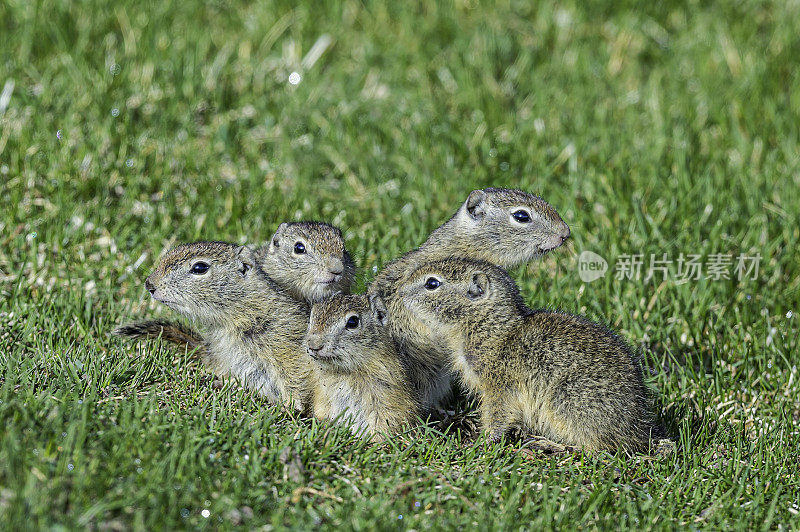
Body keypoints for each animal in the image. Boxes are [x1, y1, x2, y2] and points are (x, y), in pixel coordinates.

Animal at [392, 258, 656, 454]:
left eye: (432, 283)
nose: (400, 292)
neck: (490, 327)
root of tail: (638, 428)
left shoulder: (499, 386)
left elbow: (498, 415)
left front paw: (481, 441)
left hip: (568, 399)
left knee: (597, 447)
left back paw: (551, 444)